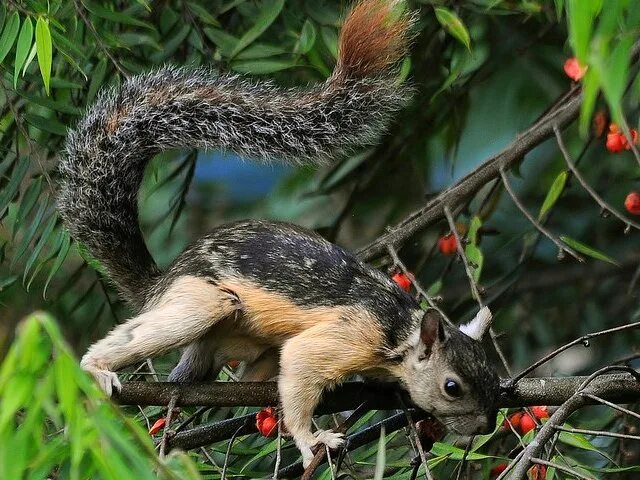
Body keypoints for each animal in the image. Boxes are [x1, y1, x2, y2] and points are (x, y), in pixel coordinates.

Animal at [57, 0, 500, 466]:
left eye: (493, 377)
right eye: (452, 387)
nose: (484, 426)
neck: (397, 331)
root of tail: (160, 282)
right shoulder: (347, 336)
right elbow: (301, 370)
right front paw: (311, 439)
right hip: (200, 302)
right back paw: (96, 367)